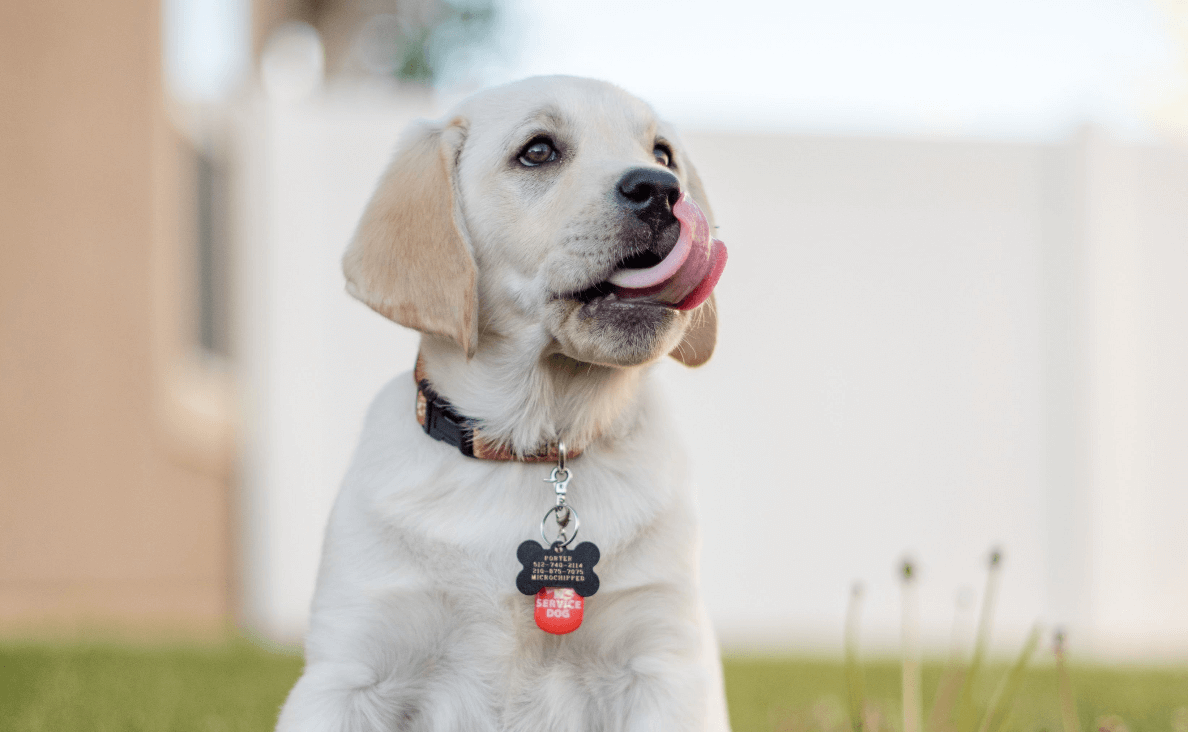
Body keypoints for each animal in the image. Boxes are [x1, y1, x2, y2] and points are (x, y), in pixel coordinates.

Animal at [275, 75, 731, 732]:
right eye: (537, 151)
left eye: (663, 154)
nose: (662, 191)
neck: (530, 447)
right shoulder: (348, 672)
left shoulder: (664, 665)